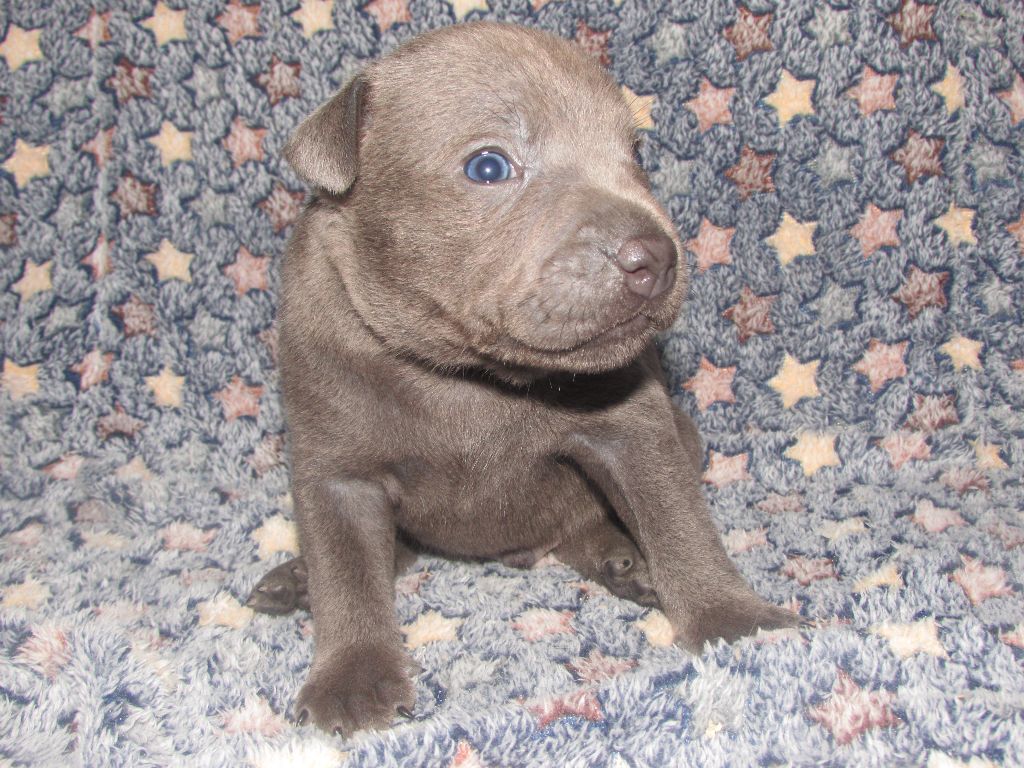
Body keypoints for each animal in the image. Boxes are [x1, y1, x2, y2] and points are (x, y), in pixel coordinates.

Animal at [247, 22, 798, 736]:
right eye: (489, 166)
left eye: (636, 152)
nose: (656, 258)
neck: (466, 371)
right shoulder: (334, 469)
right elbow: (346, 573)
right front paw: (353, 678)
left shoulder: (635, 430)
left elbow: (680, 523)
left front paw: (736, 621)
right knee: (385, 552)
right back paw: (296, 580)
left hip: (683, 430)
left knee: (586, 524)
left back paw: (623, 557)